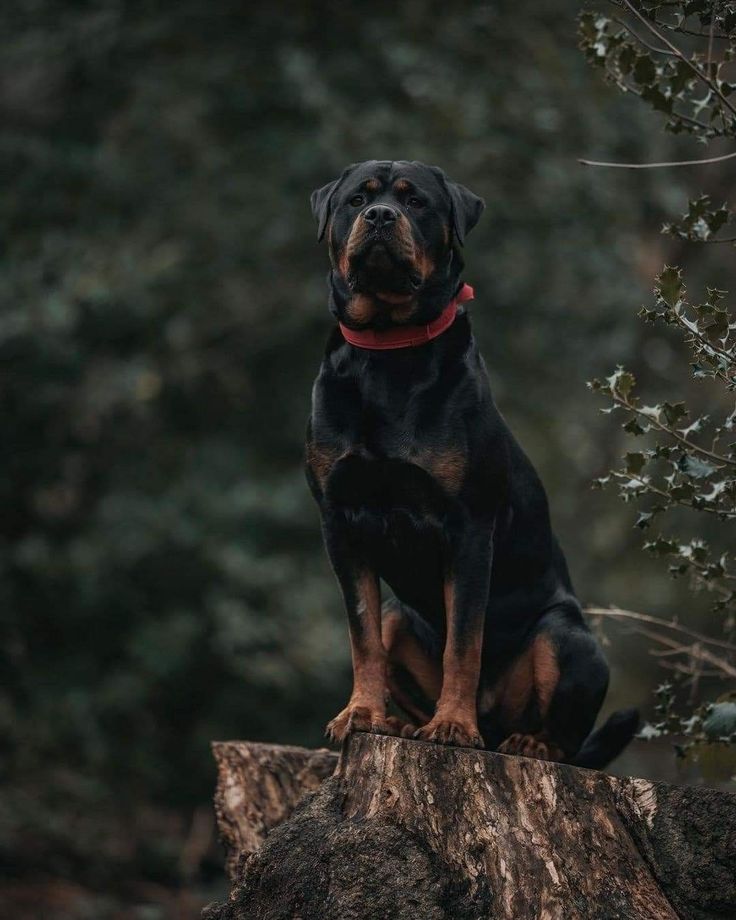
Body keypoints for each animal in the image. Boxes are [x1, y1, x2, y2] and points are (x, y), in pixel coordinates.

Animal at [304, 162, 640, 764]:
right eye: (355, 201)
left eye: (415, 202)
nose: (381, 216)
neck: (389, 351)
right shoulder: (340, 523)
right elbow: (362, 635)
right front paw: (360, 714)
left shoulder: (469, 527)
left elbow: (464, 640)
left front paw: (453, 725)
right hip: (401, 618)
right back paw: (404, 723)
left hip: (568, 637)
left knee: (561, 729)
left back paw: (525, 740)